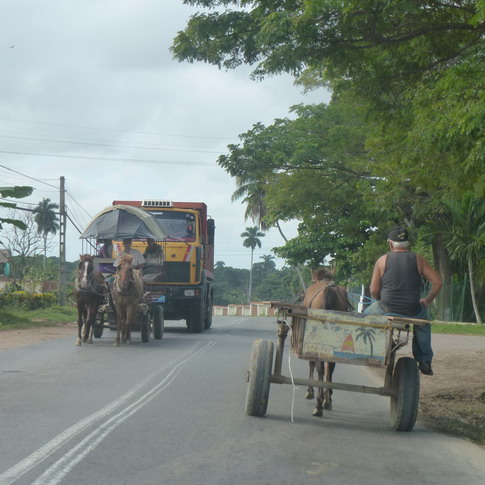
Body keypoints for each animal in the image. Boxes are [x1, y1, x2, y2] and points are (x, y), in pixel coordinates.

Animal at [302, 266, 348, 414]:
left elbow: (312, 363)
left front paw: (310, 391)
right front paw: (327, 397)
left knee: (320, 366)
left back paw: (319, 404)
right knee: (330, 365)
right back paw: (327, 400)